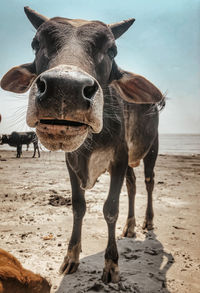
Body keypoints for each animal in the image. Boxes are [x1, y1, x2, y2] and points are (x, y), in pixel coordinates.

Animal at [0, 7, 164, 282]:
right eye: (36, 44)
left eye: (112, 50)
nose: (65, 89)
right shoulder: (72, 162)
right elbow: (78, 207)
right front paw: (71, 257)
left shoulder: (119, 158)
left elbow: (110, 208)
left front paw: (111, 264)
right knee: (132, 186)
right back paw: (129, 226)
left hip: (152, 147)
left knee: (149, 182)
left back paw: (147, 222)